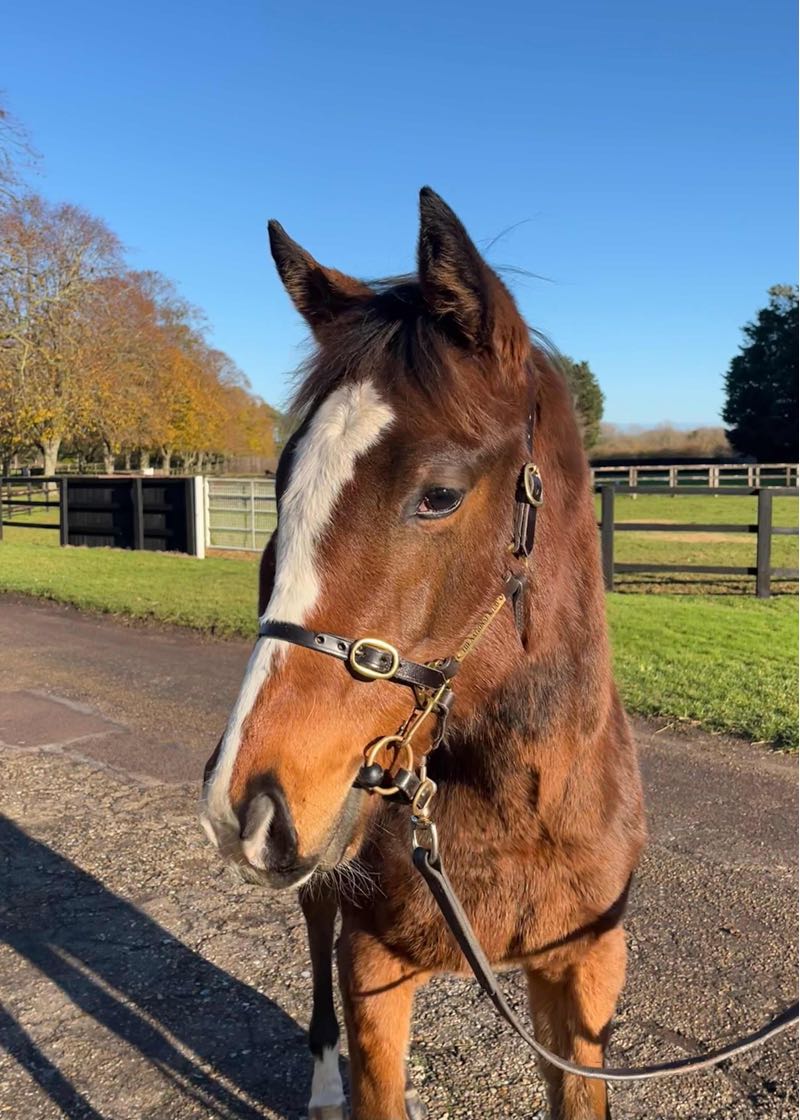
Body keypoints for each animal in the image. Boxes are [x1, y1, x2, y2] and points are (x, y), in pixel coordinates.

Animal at [201, 187, 646, 1120]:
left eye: (438, 496)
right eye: (284, 482)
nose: (241, 805)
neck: (525, 803)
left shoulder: (586, 973)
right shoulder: (373, 968)